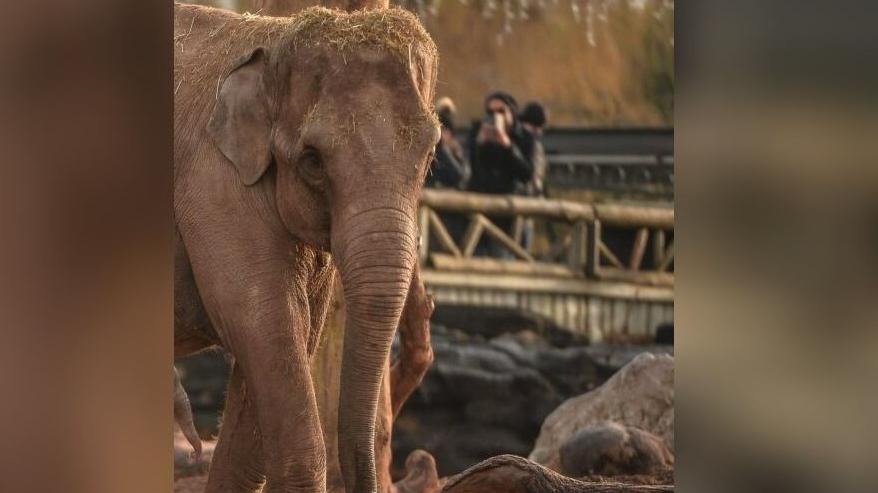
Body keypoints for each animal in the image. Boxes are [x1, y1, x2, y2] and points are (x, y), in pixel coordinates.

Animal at [174, 3, 440, 492]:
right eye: (313, 161)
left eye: (430, 155)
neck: (272, 41)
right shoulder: (215, 188)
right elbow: (262, 326)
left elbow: (251, 445)